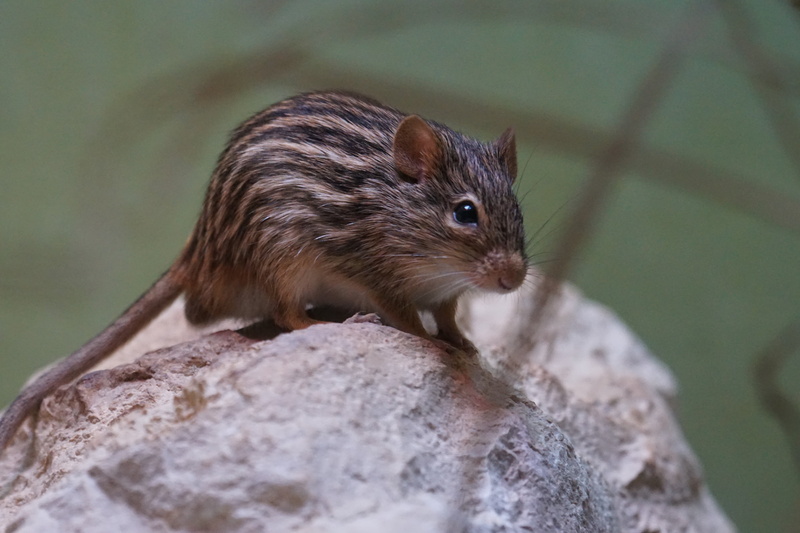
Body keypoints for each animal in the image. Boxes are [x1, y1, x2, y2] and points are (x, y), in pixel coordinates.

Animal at [0, 90, 527, 456]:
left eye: (518, 211)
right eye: (464, 213)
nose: (515, 279)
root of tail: (198, 253)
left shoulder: (445, 295)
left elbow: (450, 318)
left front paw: (465, 346)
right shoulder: (376, 274)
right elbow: (411, 322)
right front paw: (434, 343)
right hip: (283, 260)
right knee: (286, 316)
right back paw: (343, 321)